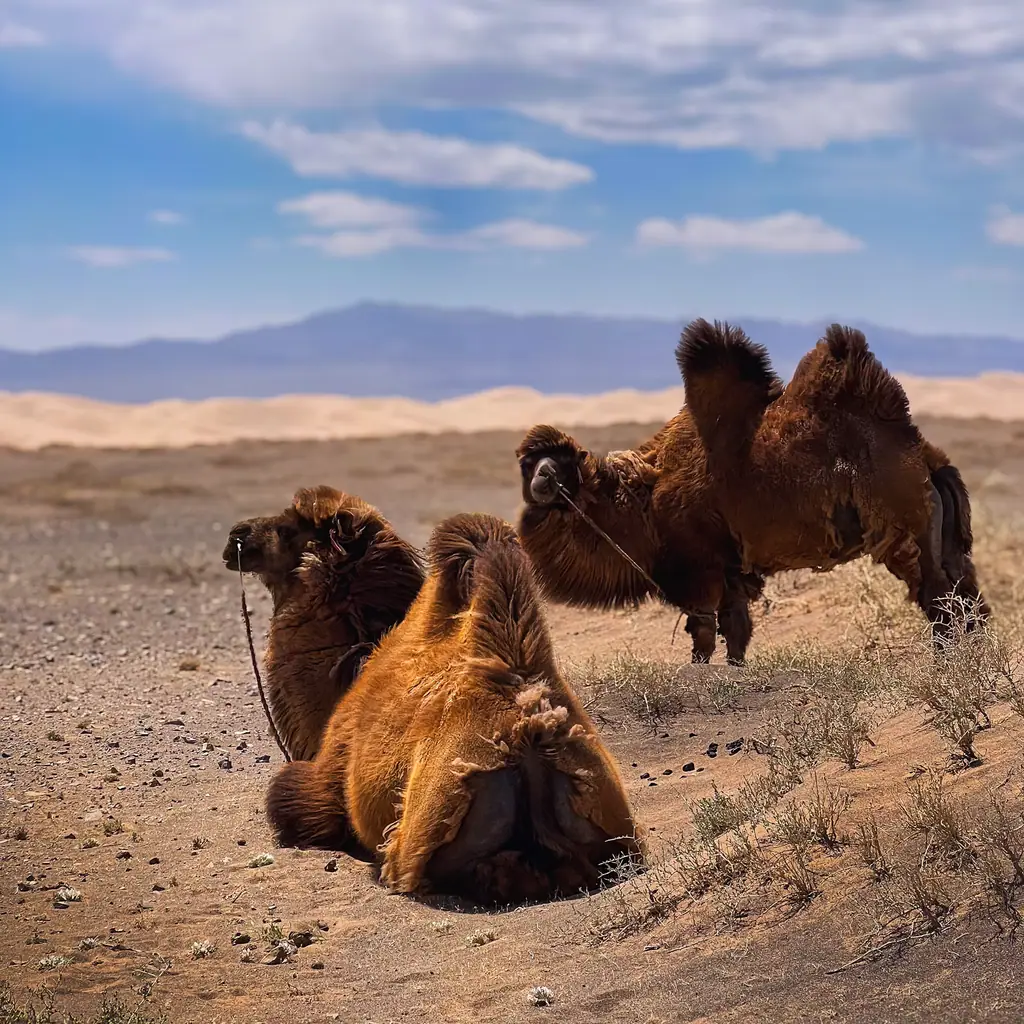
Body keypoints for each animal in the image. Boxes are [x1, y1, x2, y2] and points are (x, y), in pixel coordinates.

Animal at [517, 321, 988, 664]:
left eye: (560, 463)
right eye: (527, 463)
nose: (542, 479)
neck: (643, 502)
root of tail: (926, 457)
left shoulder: (700, 571)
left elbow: (704, 634)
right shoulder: (731, 571)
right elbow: (736, 631)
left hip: (905, 529)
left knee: (938, 595)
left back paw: (945, 661)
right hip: (943, 535)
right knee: (965, 591)